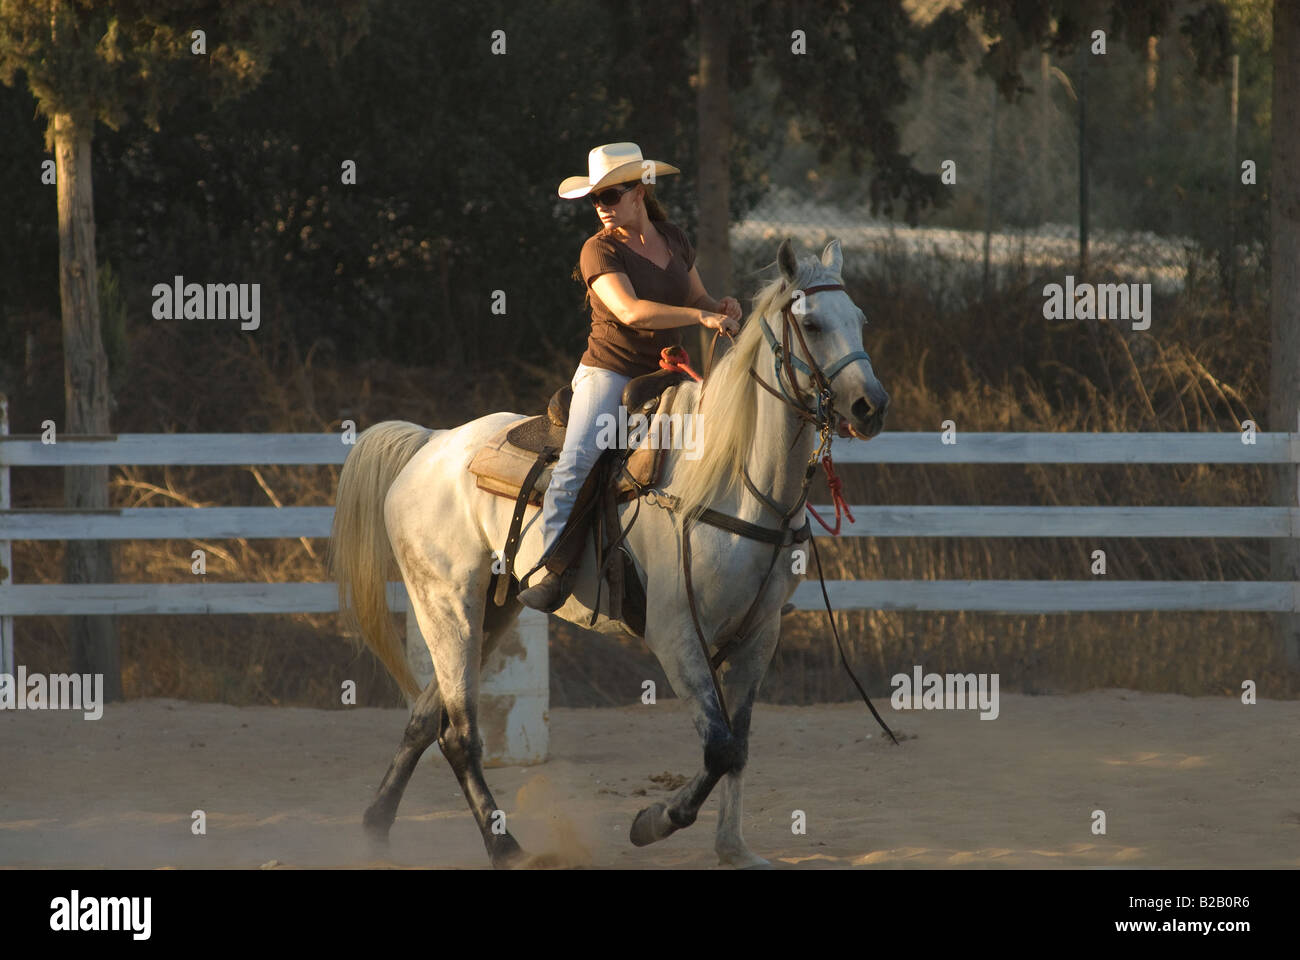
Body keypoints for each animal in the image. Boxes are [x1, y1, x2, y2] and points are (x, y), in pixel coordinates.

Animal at [328, 237, 889, 868]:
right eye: (812, 324)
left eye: (859, 319)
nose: (871, 406)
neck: (732, 481)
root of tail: (432, 444)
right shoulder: (677, 635)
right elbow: (719, 748)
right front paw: (652, 821)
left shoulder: (758, 634)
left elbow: (739, 747)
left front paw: (733, 848)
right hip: (447, 607)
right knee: (460, 733)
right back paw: (505, 848)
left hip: (495, 609)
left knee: (427, 721)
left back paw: (377, 828)